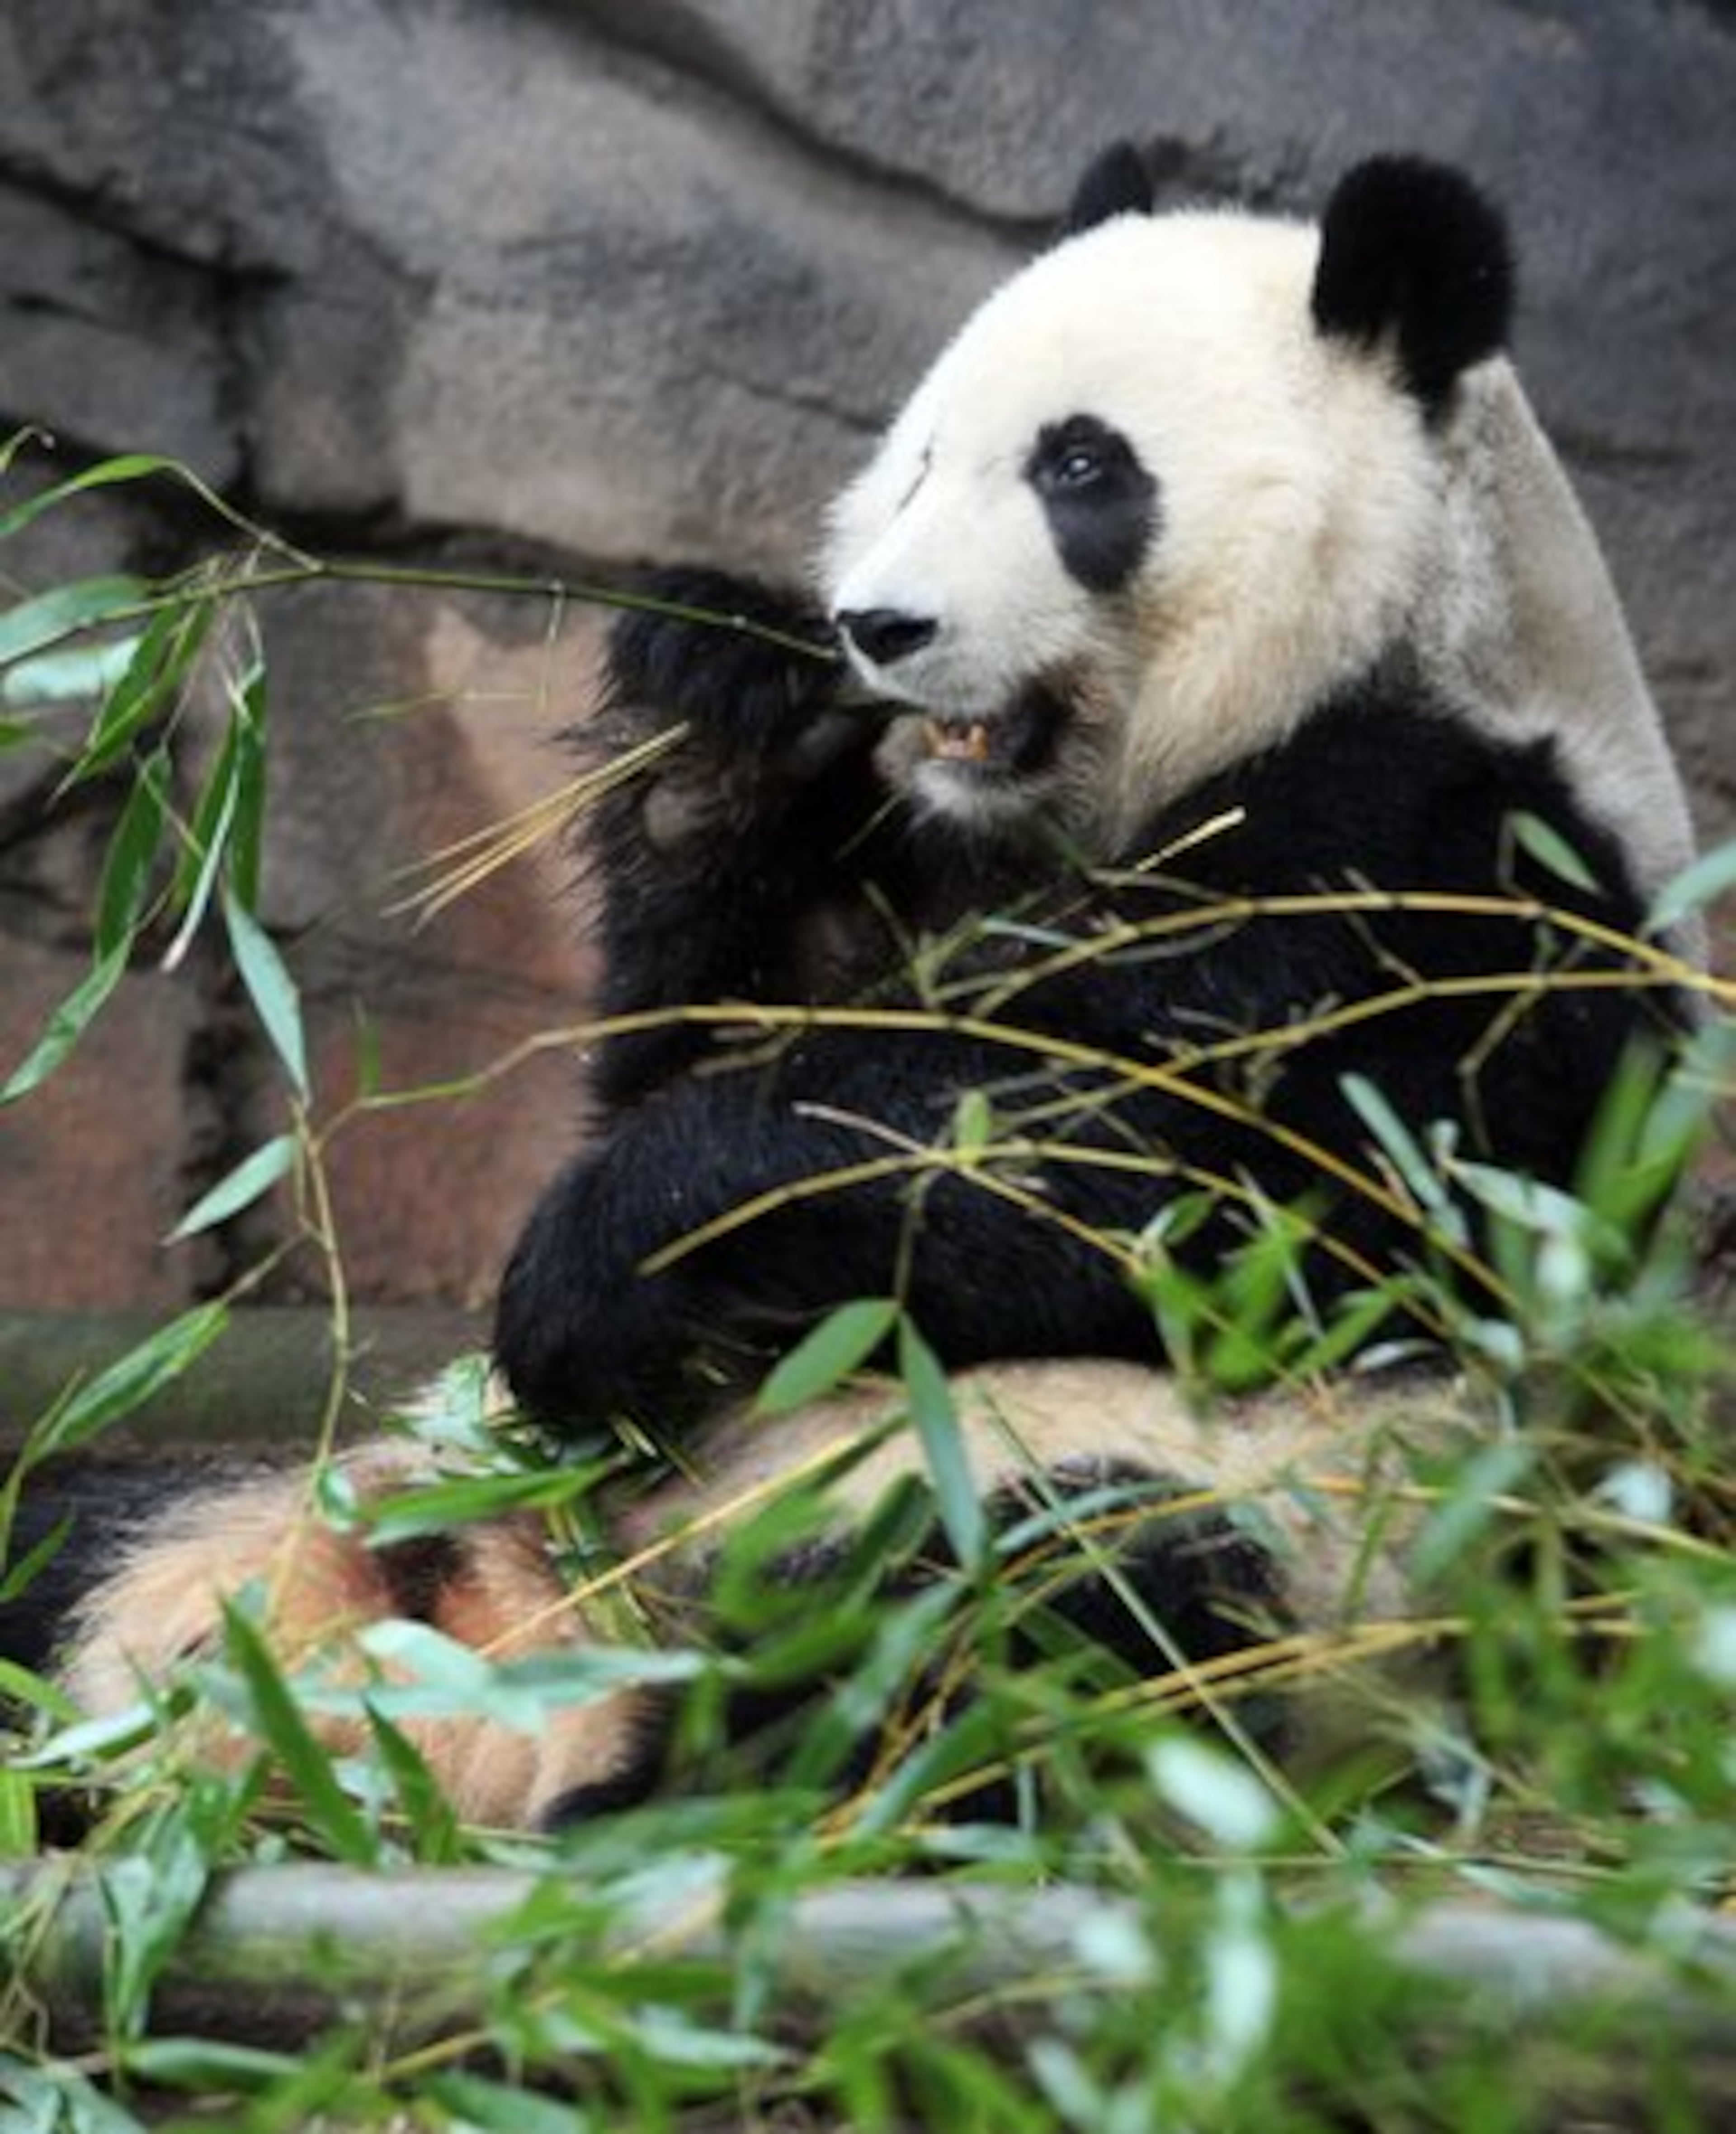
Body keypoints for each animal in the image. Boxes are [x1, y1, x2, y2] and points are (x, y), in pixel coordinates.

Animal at [41, 146, 1702, 1832]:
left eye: (1081, 468)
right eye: (916, 461)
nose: (881, 628)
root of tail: (511, 1669)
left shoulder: (1455, 863)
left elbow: (1194, 1172)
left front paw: (595, 1264)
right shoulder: (933, 861)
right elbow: (732, 1034)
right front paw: (722, 720)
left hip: (1260, 1535)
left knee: (1050, 1614)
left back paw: (691, 1786)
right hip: (299, 1494)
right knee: (64, 1536)